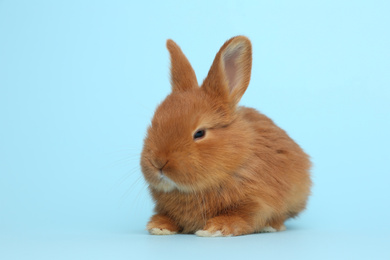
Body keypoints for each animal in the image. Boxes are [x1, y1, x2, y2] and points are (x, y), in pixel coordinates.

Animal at [140, 35, 310, 237]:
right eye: (155, 123)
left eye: (199, 133)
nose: (158, 163)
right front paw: (159, 226)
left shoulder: (257, 201)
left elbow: (242, 216)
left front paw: (215, 229)